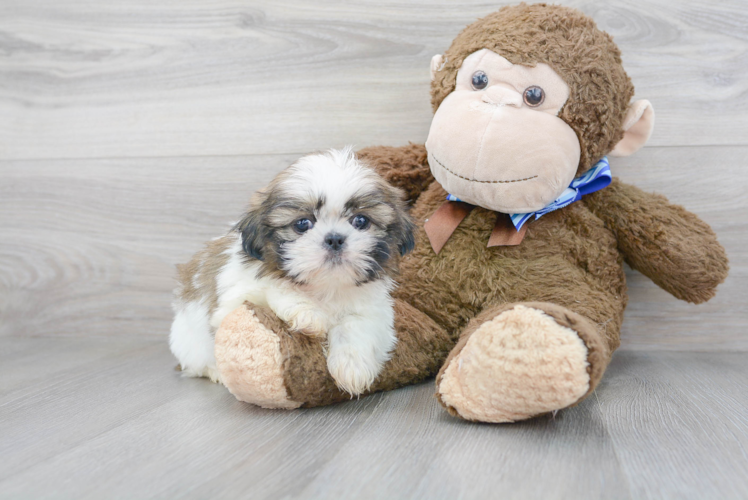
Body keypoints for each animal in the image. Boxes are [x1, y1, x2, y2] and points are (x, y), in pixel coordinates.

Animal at [169, 146, 414, 396]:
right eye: (302, 224)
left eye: (361, 221)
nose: (335, 239)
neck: (325, 286)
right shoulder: (235, 297)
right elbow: (274, 287)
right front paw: (307, 313)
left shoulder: (375, 310)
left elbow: (356, 325)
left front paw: (352, 366)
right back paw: (215, 372)